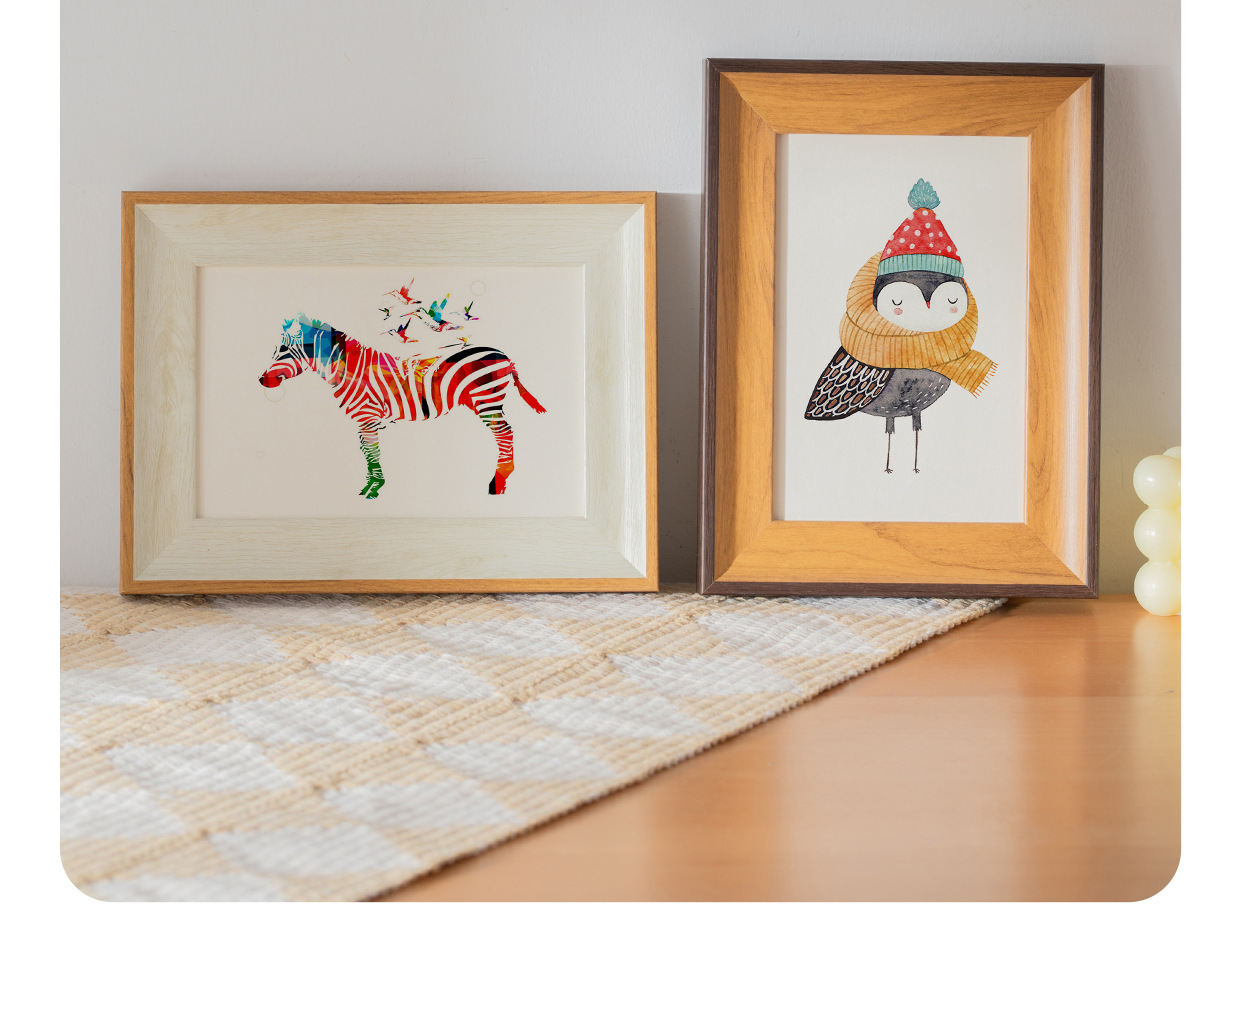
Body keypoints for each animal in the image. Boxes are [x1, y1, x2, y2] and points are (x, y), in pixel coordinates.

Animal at [258, 314, 547, 498]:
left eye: (284, 350)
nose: (262, 381)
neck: (351, 371)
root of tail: (504, 355)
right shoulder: (364, 419)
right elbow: (366, 451)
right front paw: (370, 485)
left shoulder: (368, 415)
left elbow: (372, 451)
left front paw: (375, 488)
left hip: (486, 400)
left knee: (505, 433)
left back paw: (499, 481)